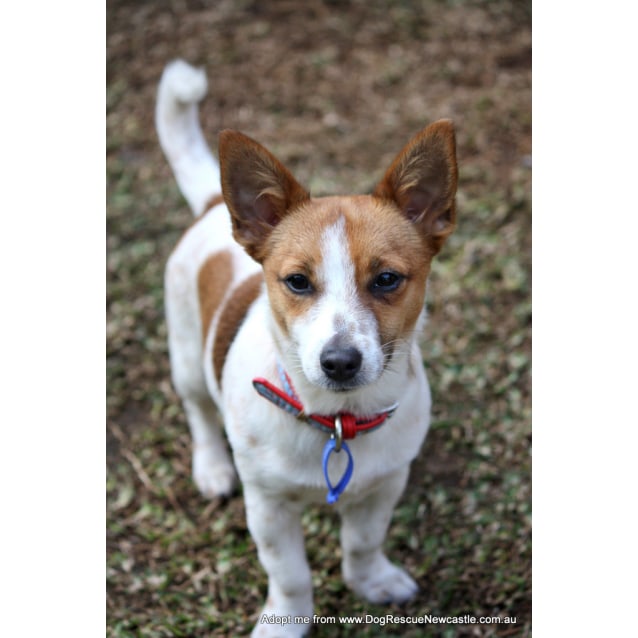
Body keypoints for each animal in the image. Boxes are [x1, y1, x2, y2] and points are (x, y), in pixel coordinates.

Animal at [157, 57, 458, 636]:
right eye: (297, 281)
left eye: (387, 279)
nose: (339, 362)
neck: (335, 420)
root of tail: (214, 203)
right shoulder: (268, 507)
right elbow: (291, 575)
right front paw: (286, 622)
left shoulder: (384, 486)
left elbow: (363, 543)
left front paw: (370, 582)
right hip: (185, 355)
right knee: (197, 410)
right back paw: (211, 466)